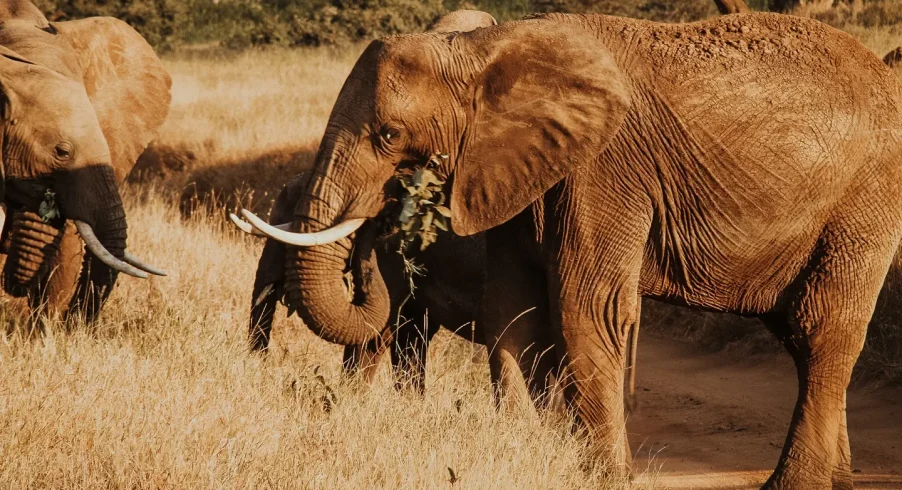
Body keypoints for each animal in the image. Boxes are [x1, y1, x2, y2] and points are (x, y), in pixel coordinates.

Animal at [238, 11, 902, 488]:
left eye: (389, 135)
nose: (372, 233)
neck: (481, 51)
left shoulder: (605, 167)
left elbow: (588, 308)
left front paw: (602, 477)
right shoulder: (514, 168)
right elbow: (515, 311)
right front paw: (521, 454)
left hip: (865, 198)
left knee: (822, 327)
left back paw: (794, 484)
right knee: (797, 333)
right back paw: (838, 476)